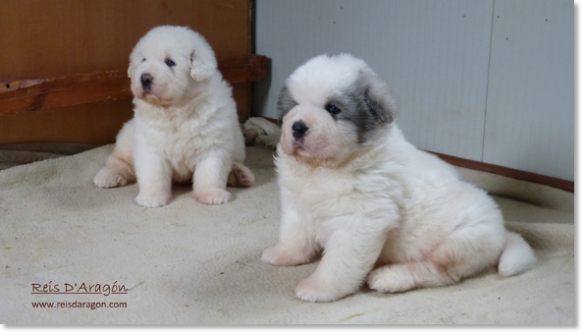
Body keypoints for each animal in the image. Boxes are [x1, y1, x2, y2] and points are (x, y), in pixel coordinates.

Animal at [93, 25, 253, 207]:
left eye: (170, 62)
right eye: (143, 60)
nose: (144, 78)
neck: (176, 109)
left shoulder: (213, 145)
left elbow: (211, 172)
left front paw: (212, 194)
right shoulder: (151, 145)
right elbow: (154, 173)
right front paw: (152, 197)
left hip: (238, 149)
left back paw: (240, 174)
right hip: (128, 138)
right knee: (118, 160)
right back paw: (107, 176)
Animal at [262, 53, 536, 304]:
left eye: (332, 109)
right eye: (294, 105)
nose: (298, 127)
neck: (324, 169)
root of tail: (502, 230)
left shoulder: (360, 222)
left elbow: (338, 263)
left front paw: (317, 288)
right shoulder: (297, 205)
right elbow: (293, 235)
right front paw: (281, 254)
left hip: (457, 243)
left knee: (436, 272)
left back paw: (388, 278)